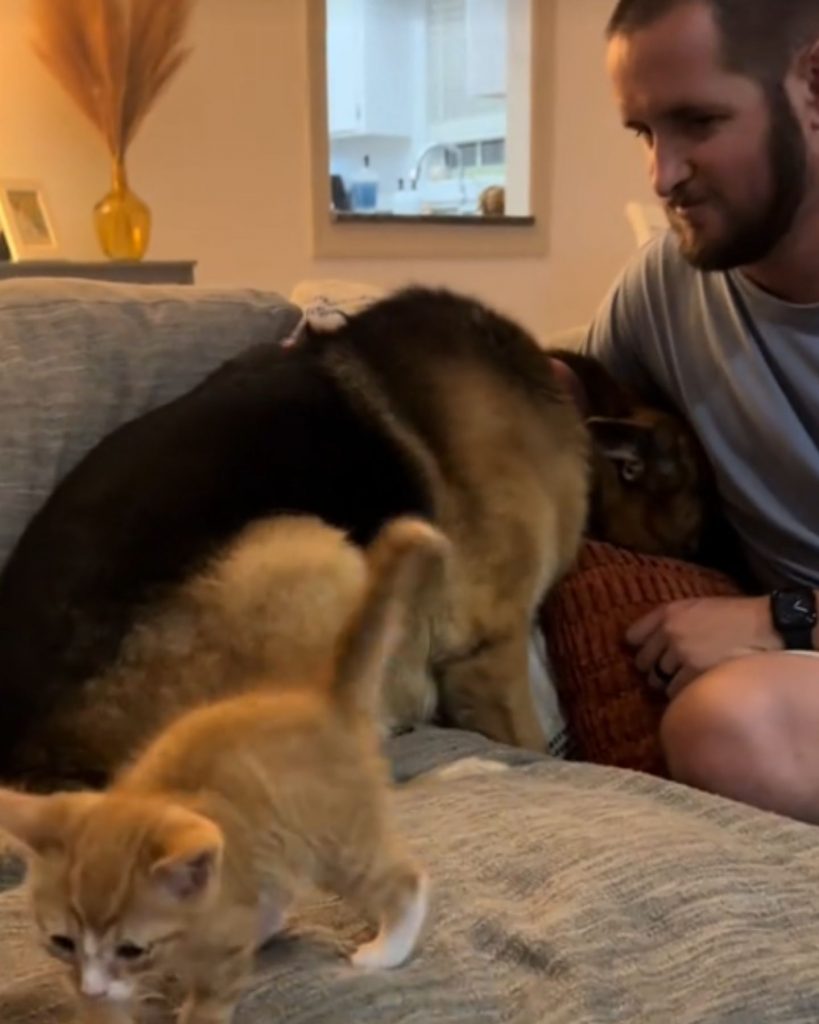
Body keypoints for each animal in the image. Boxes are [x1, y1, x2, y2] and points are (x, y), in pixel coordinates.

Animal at [0, 520, 448, 1024]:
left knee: (404, 880)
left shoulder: (223, 944)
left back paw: (387, 947)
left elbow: (211, 996)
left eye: (132, 948)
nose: (93, 986)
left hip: (340, 839)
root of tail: (321, 698)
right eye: (62, 941)